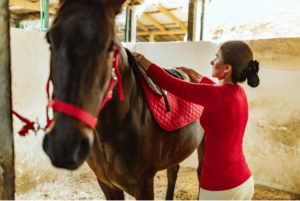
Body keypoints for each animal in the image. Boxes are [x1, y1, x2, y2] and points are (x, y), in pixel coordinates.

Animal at [42, 0, 205, 199]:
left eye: (111, 46)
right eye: (50, 39)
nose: (63, 146)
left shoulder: (143, 186)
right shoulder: (107, 185)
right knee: (173, 172)